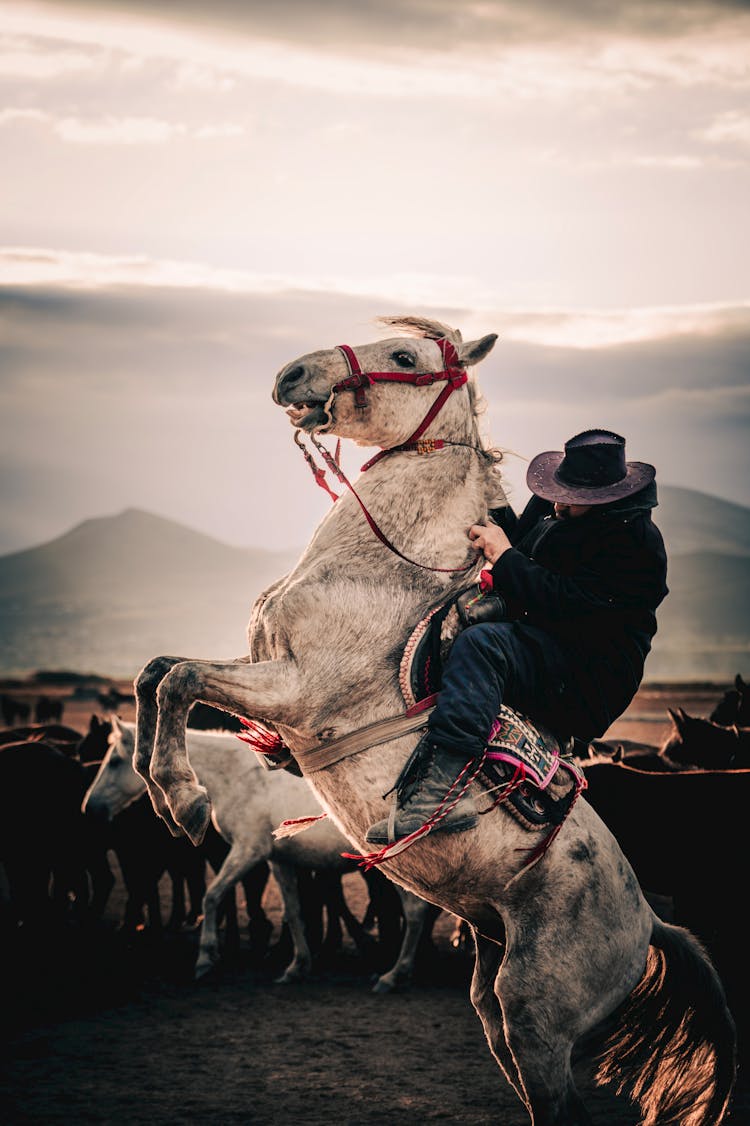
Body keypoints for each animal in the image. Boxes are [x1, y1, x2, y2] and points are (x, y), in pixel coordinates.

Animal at [82, 716, 430, 990]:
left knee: (415, 912)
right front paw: (297, 967)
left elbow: (211, 896)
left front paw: (205, 959)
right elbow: (294, 911)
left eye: (114, 762)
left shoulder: (247, 852)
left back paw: (394, 975)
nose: (91, 808)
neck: (239, 778)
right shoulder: (279, 860)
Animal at [131, 315, 734, 1126]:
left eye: (404, 355)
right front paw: (164, 790)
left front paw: (185, 798)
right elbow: (157, 672)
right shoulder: (265, 678)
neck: (379, 568)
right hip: (496, 994)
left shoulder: (296, 691)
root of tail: (647, 924)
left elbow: (181, 679)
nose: (291, 375)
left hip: (537, 1010)